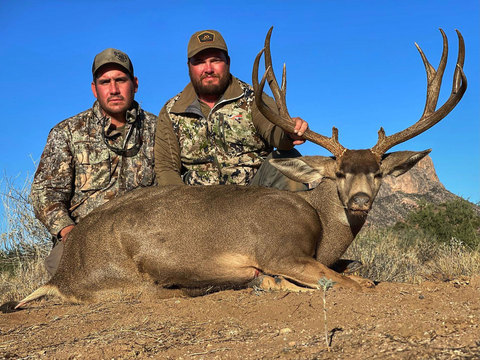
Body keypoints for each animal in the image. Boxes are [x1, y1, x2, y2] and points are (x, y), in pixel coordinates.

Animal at [6, 27, 464, 310]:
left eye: (379, 173)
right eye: (337, 173)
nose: (361, 200)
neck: (320, 225)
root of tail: (63, 274)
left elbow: (355, 272)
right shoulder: (280, 249)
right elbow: (352, 282)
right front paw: (278, 281)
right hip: (132, 279)